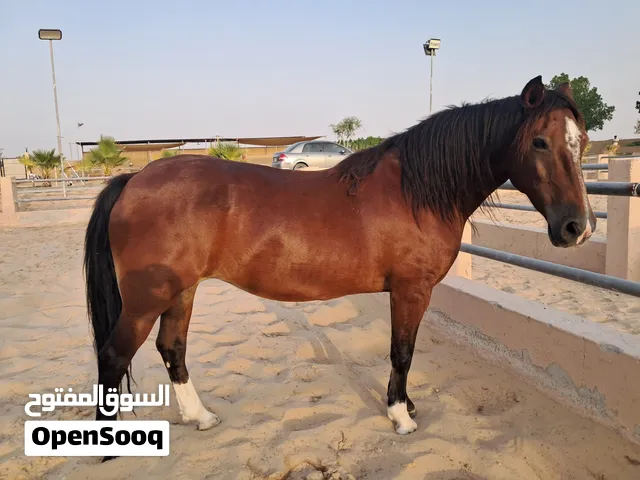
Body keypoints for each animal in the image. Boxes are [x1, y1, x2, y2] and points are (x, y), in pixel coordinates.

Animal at [83, 75, 595, 452]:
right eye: (539, 142)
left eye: (583, 141)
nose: (578, 228)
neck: (417, 192)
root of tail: (134, 179)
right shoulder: (411, 290)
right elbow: (402, 352)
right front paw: (400, 417)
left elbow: (405, 352)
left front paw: (407, 407)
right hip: (147, 298)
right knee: (113, 355)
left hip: (181, 291)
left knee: (172, 349)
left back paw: (201, 417)